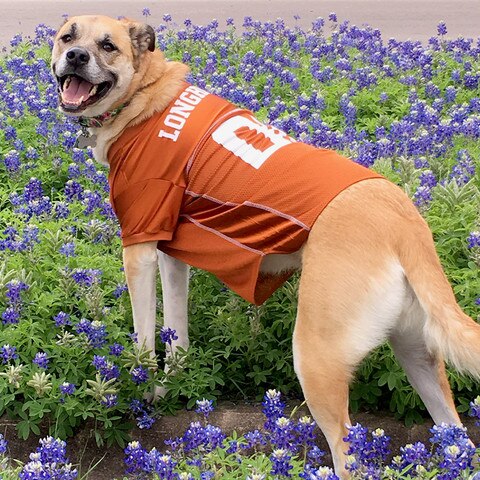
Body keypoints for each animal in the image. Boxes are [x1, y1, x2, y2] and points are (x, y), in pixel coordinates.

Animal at [51, 14, 480, 476]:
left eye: (107, 46)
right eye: (67, 36)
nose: (75, 56)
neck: (143, 95)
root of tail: (404, 222)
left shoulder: (140, 248)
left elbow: (144, 338)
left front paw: (141, 391)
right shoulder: (170, 252)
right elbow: (177, 331)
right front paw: (170, 387)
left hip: (317, 355)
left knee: (349, 454)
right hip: (416, 349)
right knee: (456, 435)